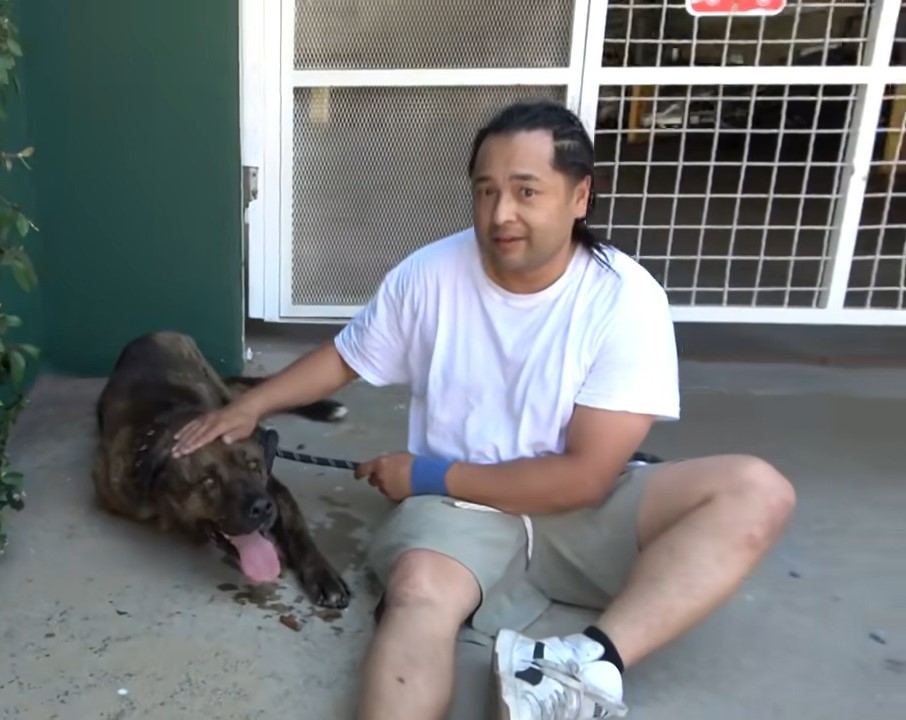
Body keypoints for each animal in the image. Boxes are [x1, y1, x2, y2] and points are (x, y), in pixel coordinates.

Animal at [89, 330, 350, 608]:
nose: (262, 508)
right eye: (208, 481)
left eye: (254, 466)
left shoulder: (274, 489)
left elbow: (296, 527)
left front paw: (322, 574)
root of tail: (148, 334)